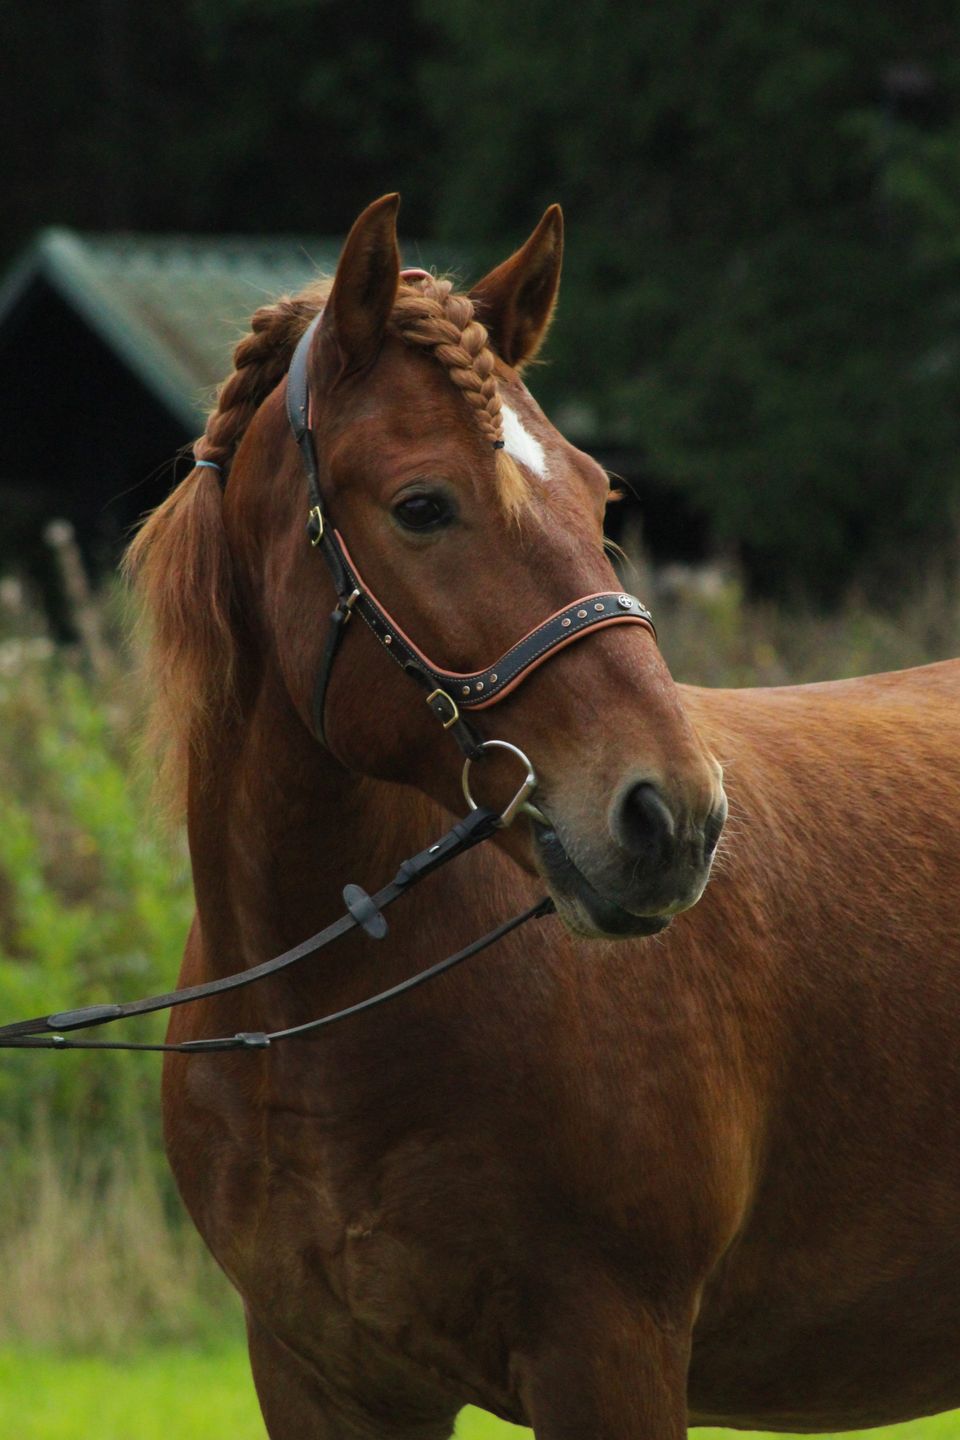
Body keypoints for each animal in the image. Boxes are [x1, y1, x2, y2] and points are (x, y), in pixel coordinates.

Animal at [127, 194, 960, 1440]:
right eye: (423, 506)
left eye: (596, 493)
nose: (674, 817)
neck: (320, 1014)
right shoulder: (321, 1375)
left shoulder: (608, 1356)